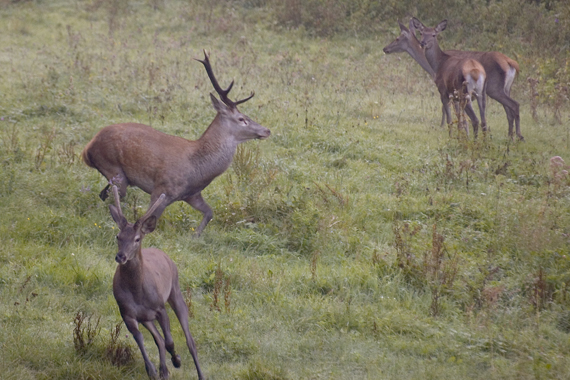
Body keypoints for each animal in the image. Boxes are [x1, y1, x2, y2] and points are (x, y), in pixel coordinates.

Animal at [82, 50, 270, 235]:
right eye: (242, 119)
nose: (266, 130)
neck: (198, 168)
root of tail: (87, 150)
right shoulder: (163, 188)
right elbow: (148, 220)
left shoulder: (191, 194)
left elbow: (209, 212)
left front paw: (195, 236)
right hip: (113, 168)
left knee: (103, 196)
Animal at [107, 186, 203, 378]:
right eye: (118, 236)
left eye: (137, 239)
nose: (121, 256)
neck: (137, 292)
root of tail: (163, 253)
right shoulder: (127, 312)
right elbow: (141, 338)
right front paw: (151, 369)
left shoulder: (160, 307)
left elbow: (170, 341)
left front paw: (177, 360)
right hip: (145, 317)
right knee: (158, 338)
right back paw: (163, 370)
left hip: (175, 291)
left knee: (190, 342)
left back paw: (197, 373)